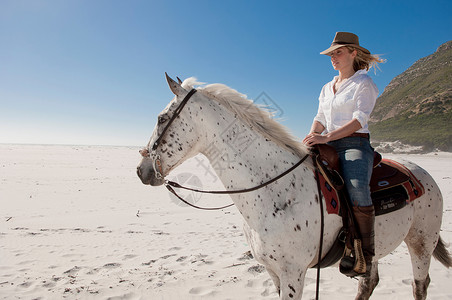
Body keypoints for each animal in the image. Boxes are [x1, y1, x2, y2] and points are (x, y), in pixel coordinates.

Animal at [136, 74, 450, 298]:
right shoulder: (274, 272)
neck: (276, 190)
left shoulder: (293, 273)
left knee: (420, 285)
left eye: (161, 118)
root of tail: (422, 173)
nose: (142, 170)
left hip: (421, 242)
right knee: (368, 282)